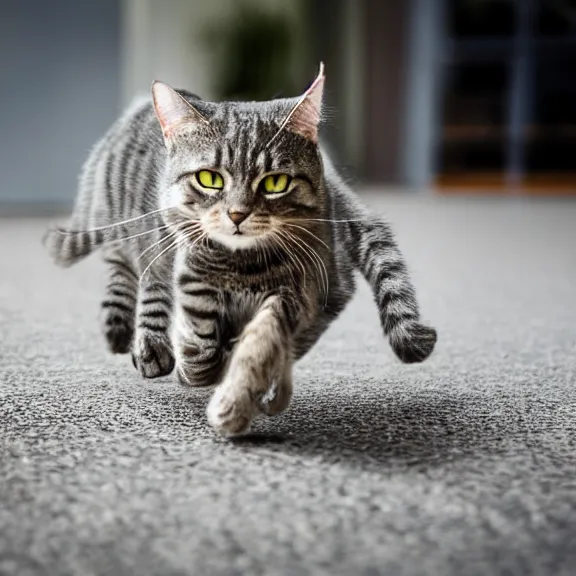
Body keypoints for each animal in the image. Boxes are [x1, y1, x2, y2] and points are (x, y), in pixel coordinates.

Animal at [45, 65, 438, 434]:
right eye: (209, 179)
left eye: (275, 183)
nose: (237, 213)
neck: (243, 265)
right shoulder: (193, 277)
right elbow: (201, 343)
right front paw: (201, 367)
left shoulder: (301, 293)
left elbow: (260, 346)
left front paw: (237, 392)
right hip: (129, 230)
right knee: (132, 272)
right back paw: (133, 335)